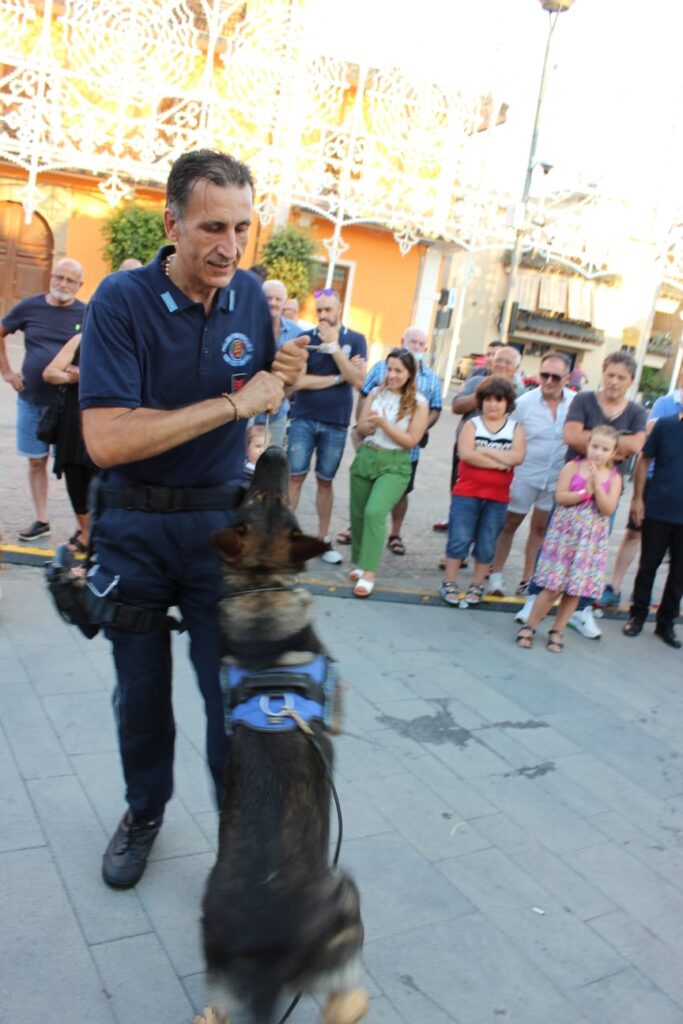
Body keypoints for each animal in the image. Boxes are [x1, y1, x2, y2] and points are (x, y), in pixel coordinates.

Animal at [197, 452, 368, 1024]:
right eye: (262, 495)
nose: (272, 454)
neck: (262, 586)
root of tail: (266, 965)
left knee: (217, 1005)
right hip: (348, 896)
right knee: (344, 997)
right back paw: (353, 1001)